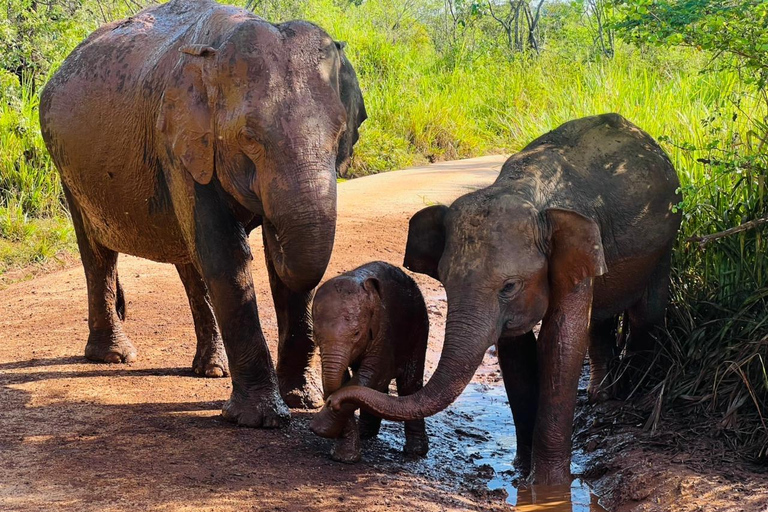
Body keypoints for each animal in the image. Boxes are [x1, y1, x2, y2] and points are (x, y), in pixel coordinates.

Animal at [39, 0, 366, 427]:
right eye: (249, 138)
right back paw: (114, 357)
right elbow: (225, 255)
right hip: (67, 168)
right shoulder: (179, 144)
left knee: (189, 259)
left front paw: (302, 401)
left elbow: (268, 269)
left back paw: (211, 369)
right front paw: (260, 419)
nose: (268, 227)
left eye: (340, 133)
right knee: (98, 254)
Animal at [309, 261, 430, 462]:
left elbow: (374, 374)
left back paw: (415, 452)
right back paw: (366, 433)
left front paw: (322, 428)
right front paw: (344, 457)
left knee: (409, 384)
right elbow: (345, 379)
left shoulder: (384, 329)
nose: (330, 402)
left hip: (419, 327)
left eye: (357, 333)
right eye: (315, 333)